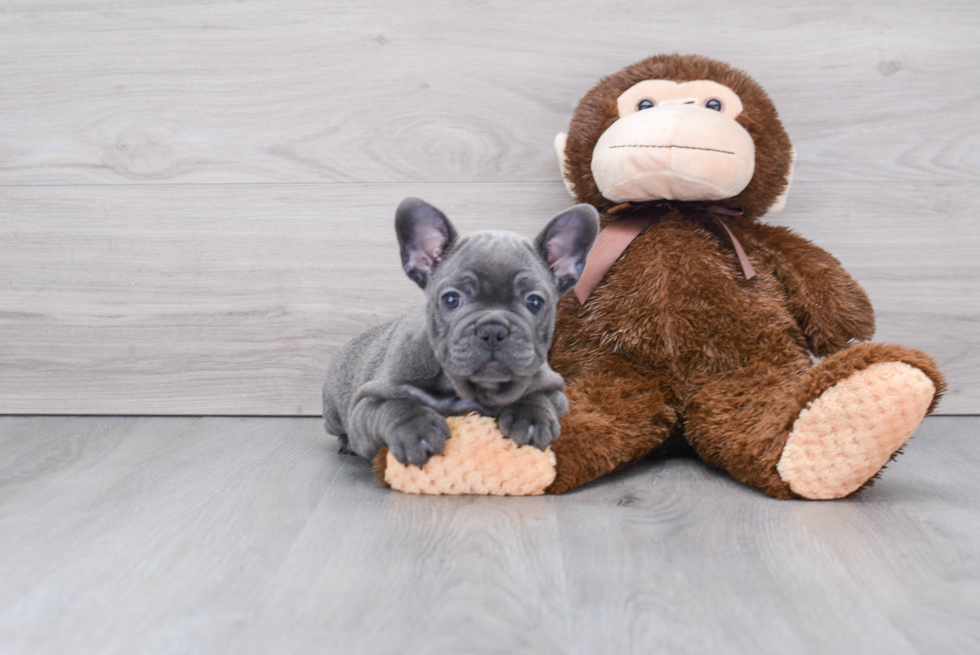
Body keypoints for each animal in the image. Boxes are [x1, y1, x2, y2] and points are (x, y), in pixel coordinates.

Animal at [324, 197, 596, 468]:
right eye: (451, 300)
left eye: (535, 303)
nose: (493, 329)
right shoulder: (366, 402)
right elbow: (395, 405)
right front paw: (416, 431)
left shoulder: (555, 391)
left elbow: (536, 396)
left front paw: (530, 418)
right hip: (333, 412)